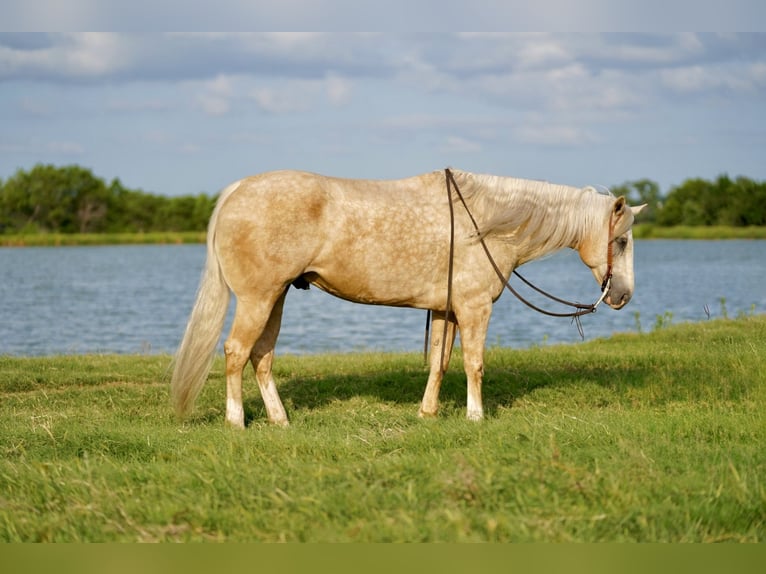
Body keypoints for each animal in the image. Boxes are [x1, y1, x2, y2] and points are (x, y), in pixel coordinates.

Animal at [171, 169, 644, 430]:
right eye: (620, 241)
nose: (622, 295)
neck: (485, 223)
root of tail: (238, 190)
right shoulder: (474, 308)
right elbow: (474, 363)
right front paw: (476, 416)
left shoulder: (445, 310)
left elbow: (440, 362)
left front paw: (428, 414)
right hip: (258, 298)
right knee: (236, 352)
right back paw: (236, 421)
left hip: (276, 297)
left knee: (261, 356)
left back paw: (280, 420)